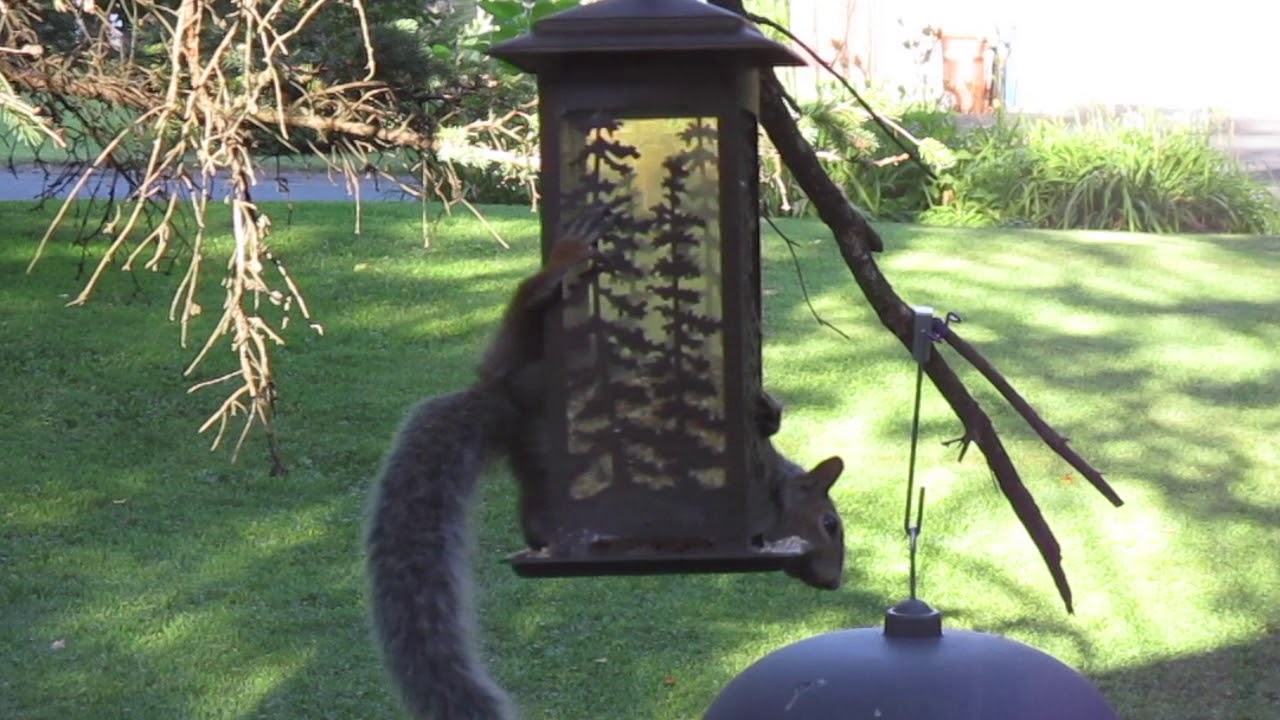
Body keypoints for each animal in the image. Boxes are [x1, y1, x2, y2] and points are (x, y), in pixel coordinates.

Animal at [365, 214, 846, 720]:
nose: (833, 583)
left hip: (537, 470)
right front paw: (763, 412)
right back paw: (556, 268)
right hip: (525, 355)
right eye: (830, 525)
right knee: (524, 309)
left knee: (536, 513)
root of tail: (502, 401)